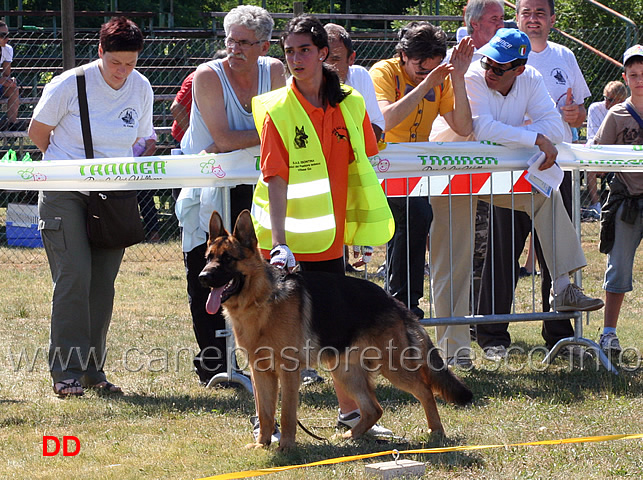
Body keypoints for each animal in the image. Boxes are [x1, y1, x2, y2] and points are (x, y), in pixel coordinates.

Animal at [200, 210, 472, 450]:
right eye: (208, 258)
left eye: (228, 259)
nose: (202, 277)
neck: (262, 299)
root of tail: (394, 301)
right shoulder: (261, 372)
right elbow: (265, 413)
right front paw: (262, 444)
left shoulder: (288, 372)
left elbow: (286, 413)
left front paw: (286, 447)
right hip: (345, 371)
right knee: (374, 409)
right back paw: (350, 437)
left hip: (392, 367)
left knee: (425, 391)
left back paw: (436, 432)